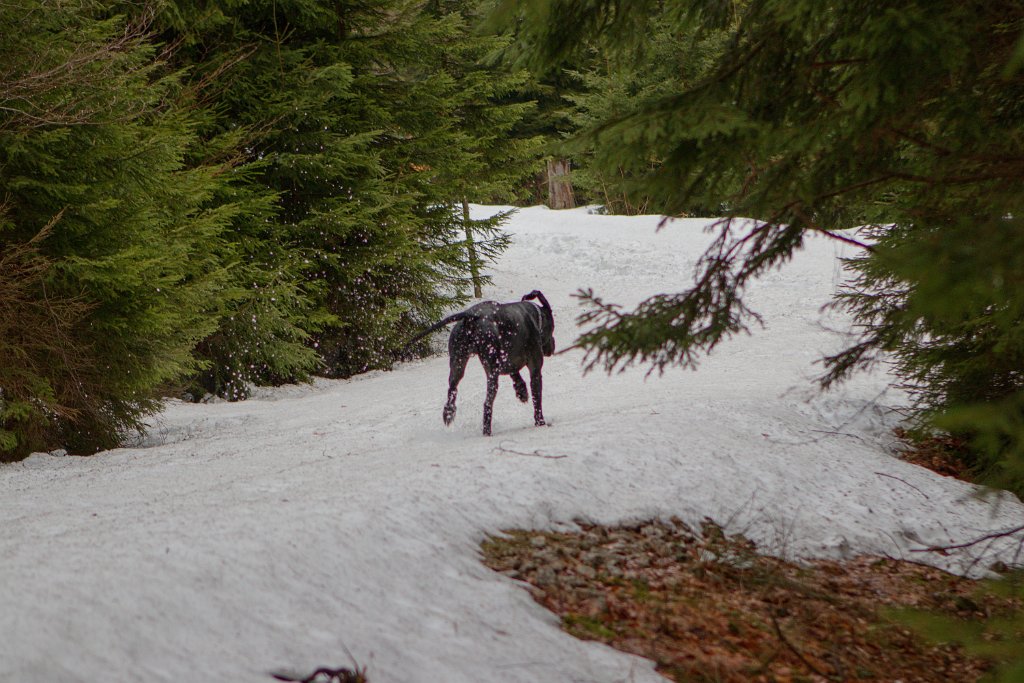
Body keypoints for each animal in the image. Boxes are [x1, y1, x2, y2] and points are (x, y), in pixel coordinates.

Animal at [403, 290, 557, 436]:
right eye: (552, 328)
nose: (553, 347)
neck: (534, 317)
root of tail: (471, 316)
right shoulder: (535, 371)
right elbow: (537, 399)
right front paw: (540, 422)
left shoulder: (507, 362)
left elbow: (515, 375)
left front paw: (521, 391)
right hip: (492, 372)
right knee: (487, 404)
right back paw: (487, 432)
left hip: (458, 363)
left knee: (452, 389)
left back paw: (449, 412)